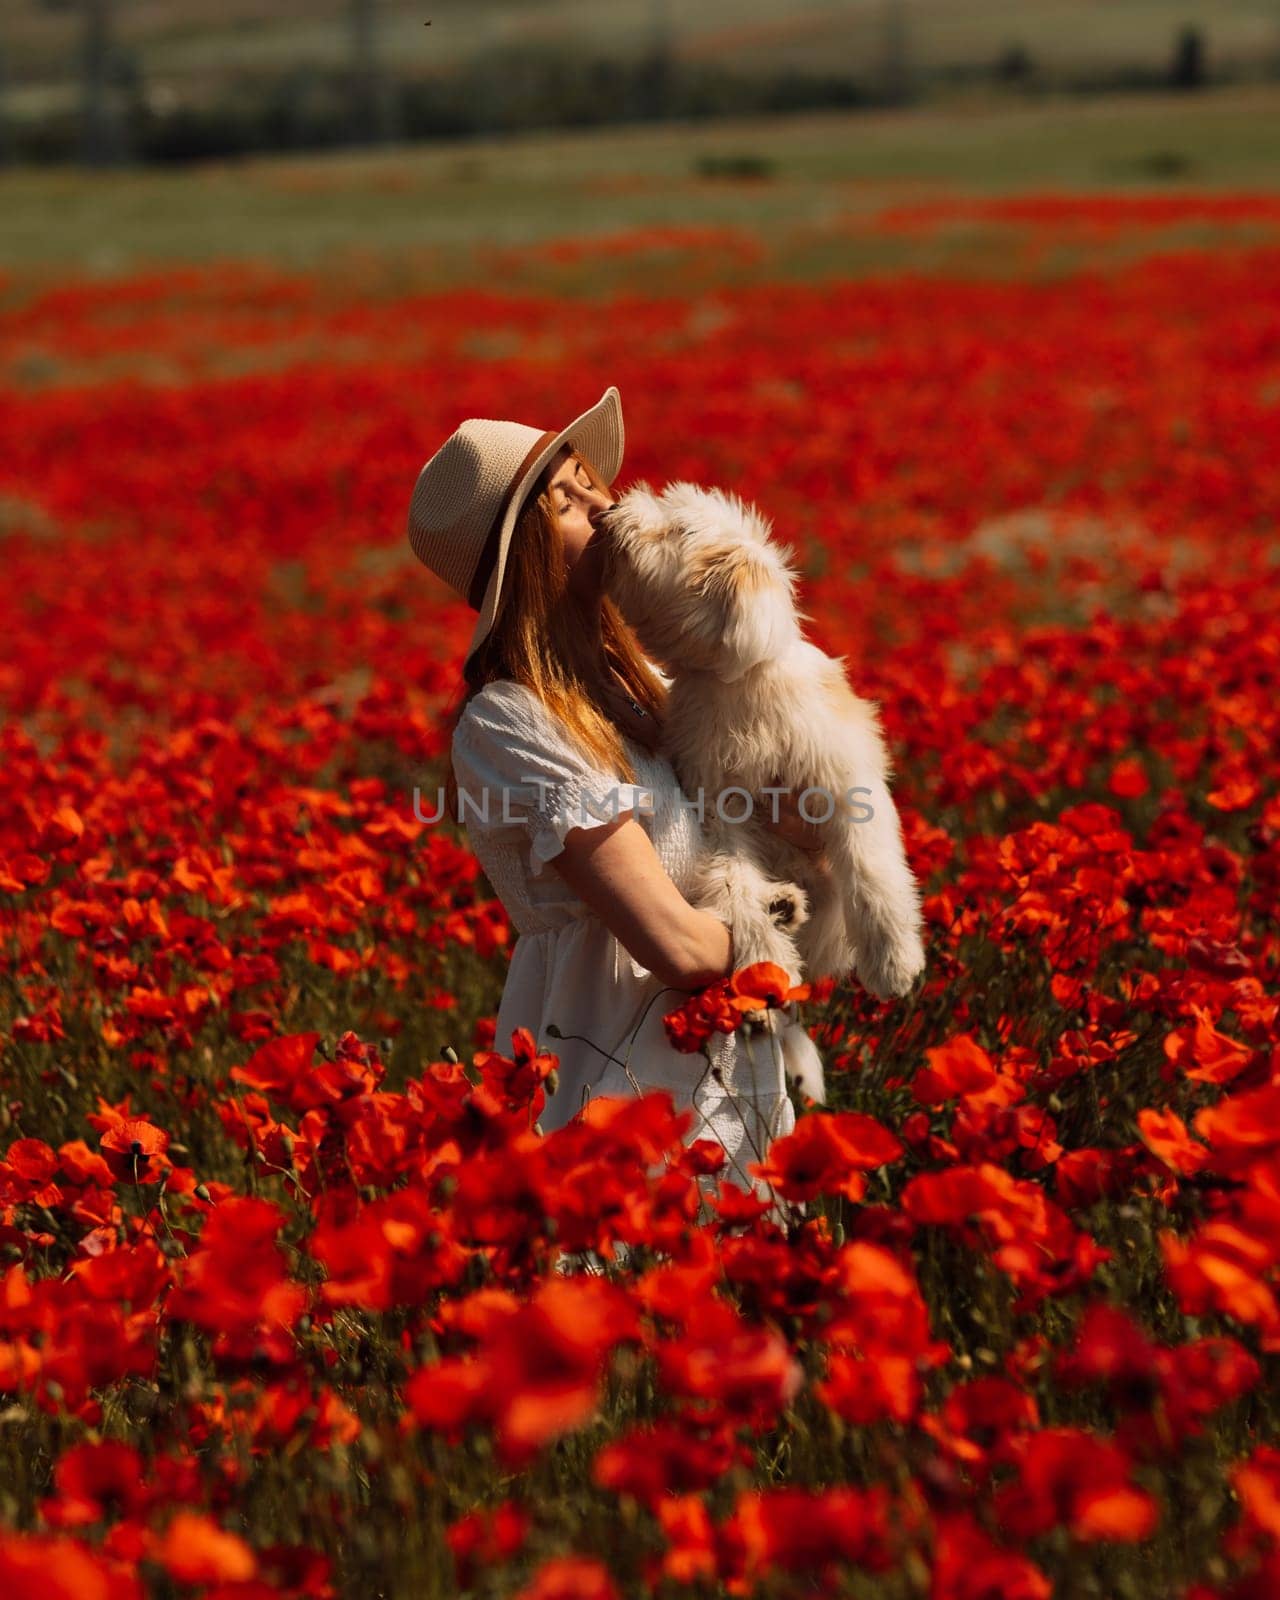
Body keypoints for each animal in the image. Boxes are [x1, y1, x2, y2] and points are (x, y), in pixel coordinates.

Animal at [595, 480, 928, 1094]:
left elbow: (872, 873)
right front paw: (761, 957)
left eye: (679, 528)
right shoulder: (722, 809)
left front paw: (894, 962)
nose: (612, 511)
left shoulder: (845, 786)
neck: (735, 684)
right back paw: (777, 918)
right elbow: (732, 882)